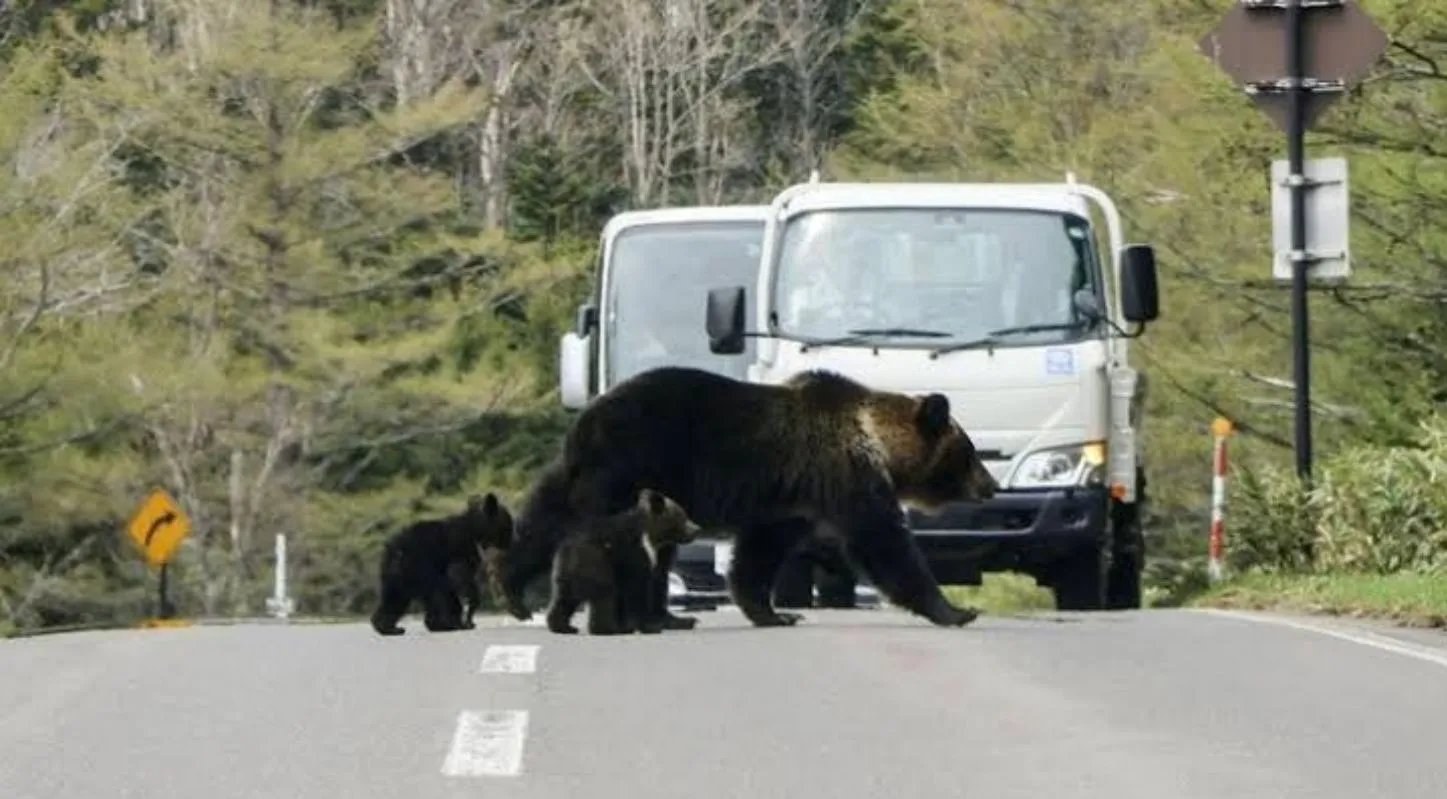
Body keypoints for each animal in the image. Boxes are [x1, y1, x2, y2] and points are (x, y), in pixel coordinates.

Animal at [370, 492, 515, 636]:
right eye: (508, 523)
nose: (510, 541)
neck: (474, 532)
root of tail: (394, 550)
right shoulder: (460, 551)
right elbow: (460, 577)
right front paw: (469, 615)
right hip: (421, 567)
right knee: (438, 594)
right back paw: (445, 624)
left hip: (398, 574)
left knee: (395, 598)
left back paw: (389, 627)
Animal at [545, 488, 702, 635]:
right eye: (682, 516)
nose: (696, 529)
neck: (651, 537)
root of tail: (567, 549)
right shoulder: (634, 554)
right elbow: (637, 588)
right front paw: (648, 627)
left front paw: (628, 626)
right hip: (597, 563)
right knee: (605, 595)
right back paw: (607, 628)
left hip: (565, 575)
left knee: (564, 599)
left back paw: (564, 627)